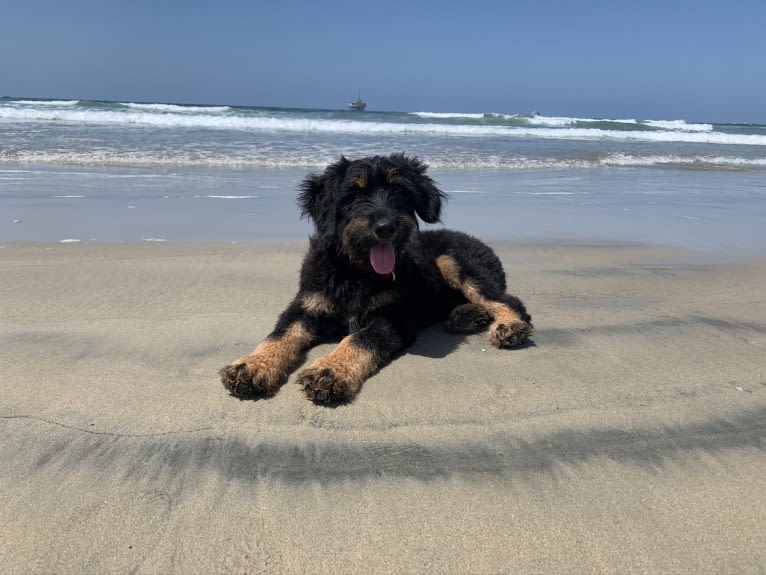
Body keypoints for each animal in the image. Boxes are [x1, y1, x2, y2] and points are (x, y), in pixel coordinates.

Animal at [222, 154, 536, 404]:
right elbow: (279, 335)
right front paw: (253, 366)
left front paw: (330, 370)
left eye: (400, 190)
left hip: (451, 260)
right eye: (353, 194)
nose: (385, 227)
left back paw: (510, 326)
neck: (355, 271)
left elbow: (360, 339)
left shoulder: (392, 315)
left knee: (508, 299)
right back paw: (468, 316)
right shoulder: (305, 305)